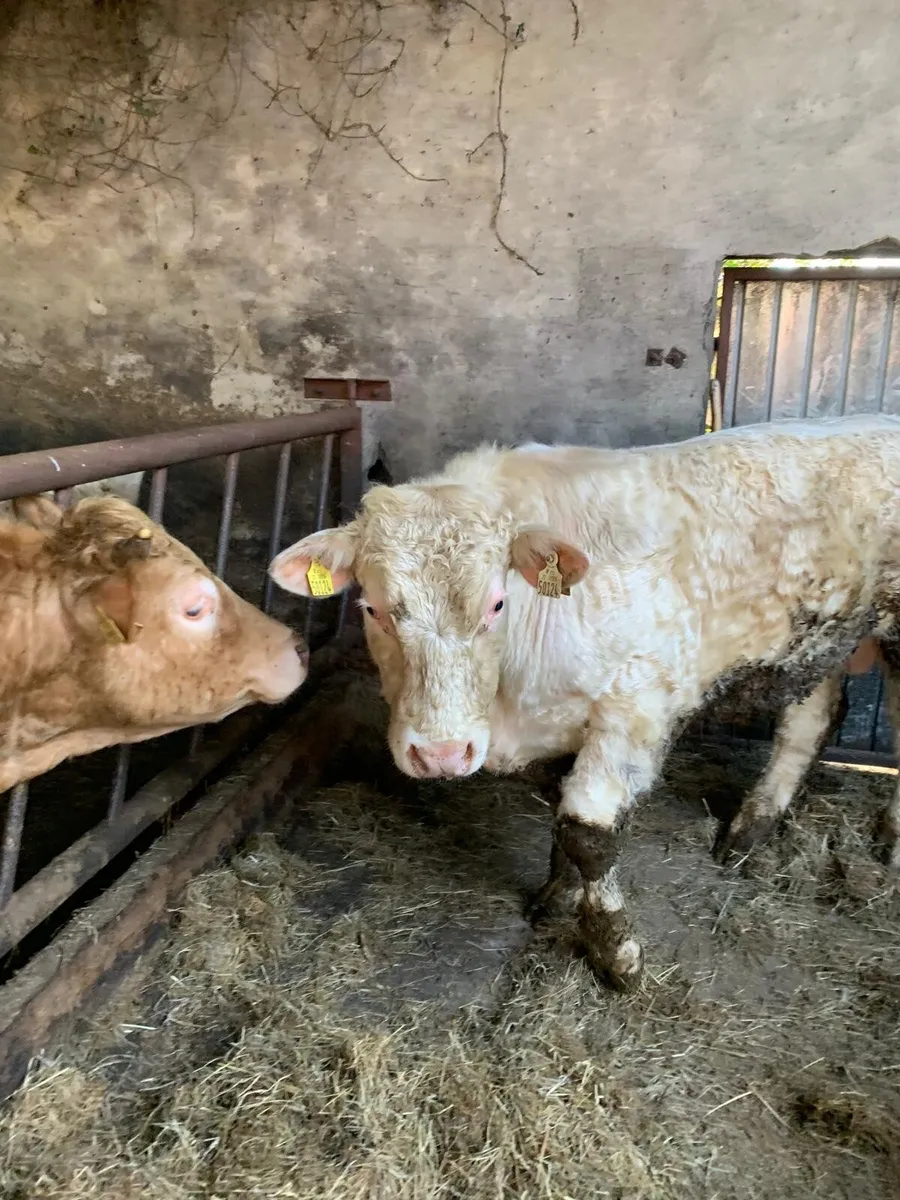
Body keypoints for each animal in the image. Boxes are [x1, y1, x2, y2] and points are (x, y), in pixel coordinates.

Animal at [268, 414, 900, 992]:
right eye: (372, 608)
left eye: (496, 603)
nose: (442, 753)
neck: (514, 700)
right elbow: (558, 818)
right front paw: (557, 894)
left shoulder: (637, 707)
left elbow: (586, 831)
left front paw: (617, 954)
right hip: (822, 637)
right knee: (811, 718)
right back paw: (751, 828)